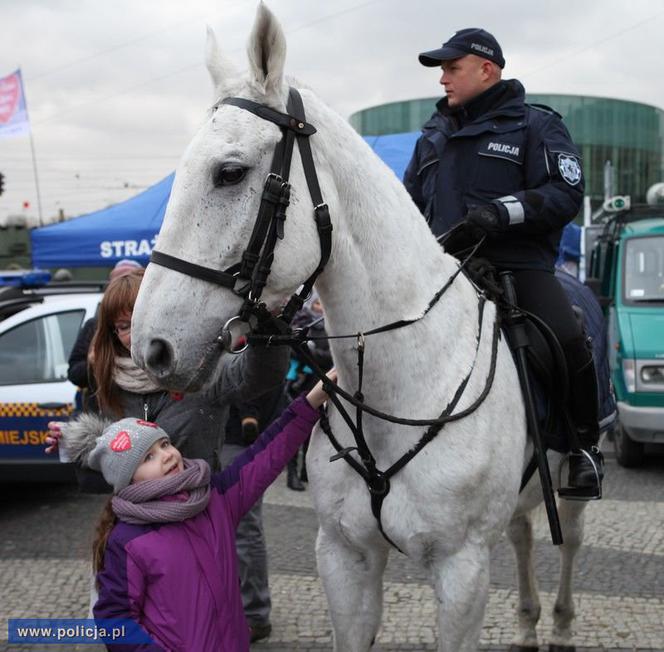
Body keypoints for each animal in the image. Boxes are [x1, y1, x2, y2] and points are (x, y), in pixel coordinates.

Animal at [130, 3, 588, 648]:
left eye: (230, 173)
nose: (152, 347)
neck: (401, 388)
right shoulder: (345, 557)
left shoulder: (463, 572)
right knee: (525, 533)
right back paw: (525, 626)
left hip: (570, 488)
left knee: (568, 541)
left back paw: (562, 627)